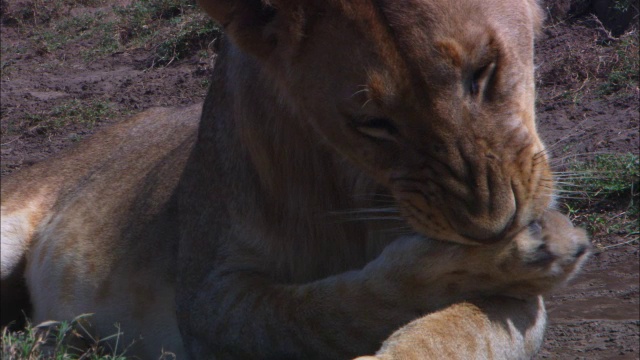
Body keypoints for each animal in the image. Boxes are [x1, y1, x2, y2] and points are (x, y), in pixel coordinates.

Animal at [0, 0, 592, 358]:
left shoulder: (521, 305)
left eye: (483, 70)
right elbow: (323, 308)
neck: (351, 182)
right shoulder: (208, 300)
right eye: (372, 122)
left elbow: (457, 329)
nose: (494, 227)